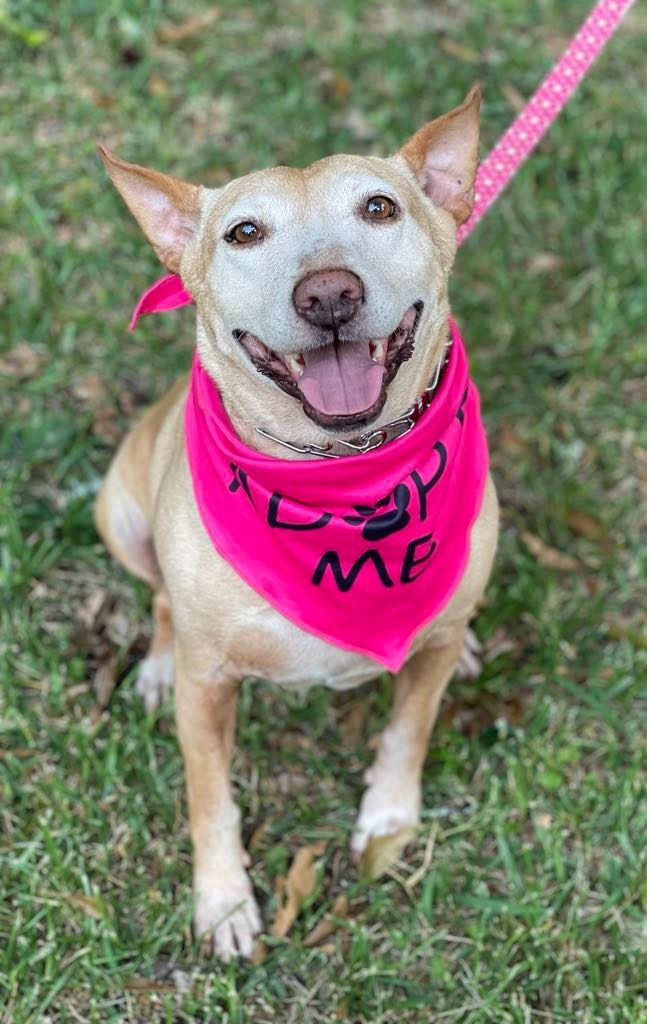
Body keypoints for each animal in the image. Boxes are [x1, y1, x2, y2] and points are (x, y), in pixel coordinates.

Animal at [96, 86, 497, 958]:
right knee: (160, 599)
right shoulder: (210, 689)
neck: (337, 477)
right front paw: (223, 903)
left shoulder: (422, 670)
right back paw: (157, 662)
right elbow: (209, 797)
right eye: (244, 233)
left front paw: (388, 818)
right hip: (118, 512)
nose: (328, 295)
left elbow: (409, 727)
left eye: (379, 207)